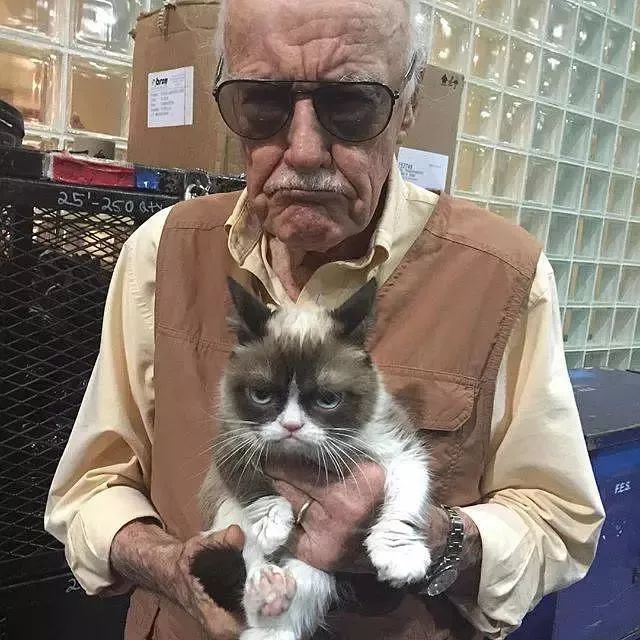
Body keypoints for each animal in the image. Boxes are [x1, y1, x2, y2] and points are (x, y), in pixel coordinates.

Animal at [194, 279, 432, 640]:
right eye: (261, 395)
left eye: (328, 399)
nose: (292, 426)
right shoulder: (231, 441)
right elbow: (256, 489)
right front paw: (273, 523)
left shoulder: (401, 450)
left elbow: (403, 508)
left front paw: (399, 556)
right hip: (229, 520)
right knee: (250, 572)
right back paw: (266, 587)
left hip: (316, 564)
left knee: (286, 618)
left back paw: (273, 599)